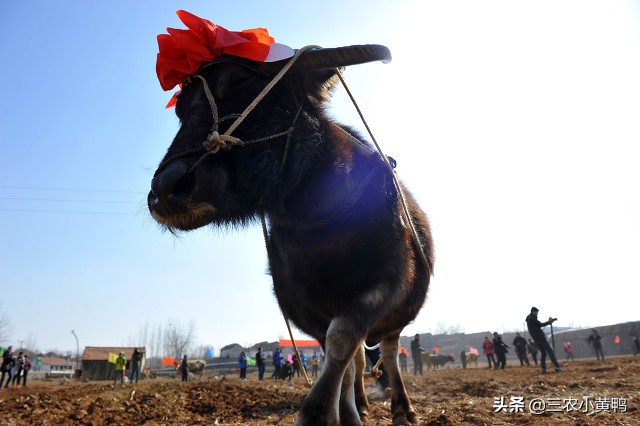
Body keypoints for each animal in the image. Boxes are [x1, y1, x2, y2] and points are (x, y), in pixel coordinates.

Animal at [149, 9, 436, 422]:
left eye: (240, 83)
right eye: (182, 110)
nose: (167, 187)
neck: (323, 228)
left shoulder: (389, 279)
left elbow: (343, 340)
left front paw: (317, 412)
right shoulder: (299, 303)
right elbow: (341, 356)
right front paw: (343, 412)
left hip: (397, 318)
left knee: (389, 352)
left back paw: (402, 408)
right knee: (359, 362)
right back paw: (361, 405)